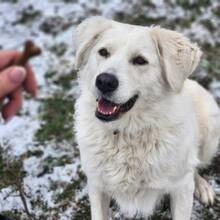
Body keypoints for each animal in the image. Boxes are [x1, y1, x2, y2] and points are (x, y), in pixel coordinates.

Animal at [74, 16, 220, 219]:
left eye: (140, 60)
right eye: (103, 52)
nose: (104, 81)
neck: (126, 133)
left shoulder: (181, 188)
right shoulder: (97, 185)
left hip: (211, 131)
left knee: (195, 167)